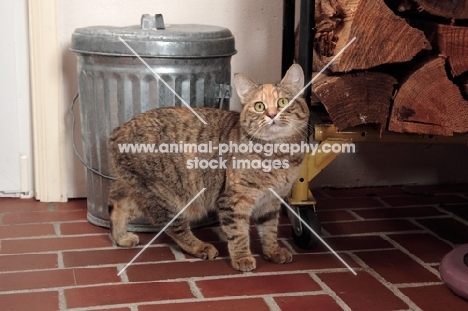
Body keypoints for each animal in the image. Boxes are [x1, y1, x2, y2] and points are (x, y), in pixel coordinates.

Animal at [108, 64, 308, 272]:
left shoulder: (271, 201)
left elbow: (269, 230)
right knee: (172, 226)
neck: (279, 154)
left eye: (283, 102)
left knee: (116, 202)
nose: (272, 114)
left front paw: (273, 251)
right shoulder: (233, 200)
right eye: (259, 106)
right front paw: (242, 257)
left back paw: (121, 237)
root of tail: (117, 131)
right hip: (166, 195)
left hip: (139, 190)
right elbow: (238, 232)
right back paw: (199, 246)